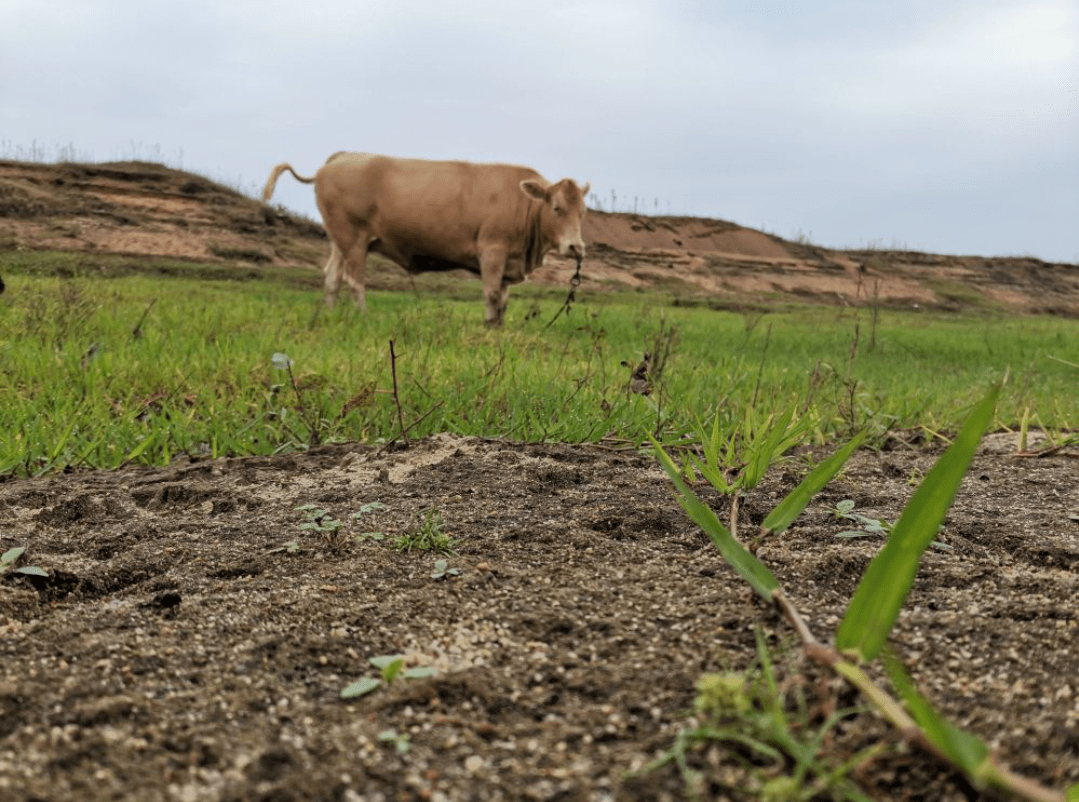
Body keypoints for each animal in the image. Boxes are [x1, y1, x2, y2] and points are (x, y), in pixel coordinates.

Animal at [262, 152, 591, 323]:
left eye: (583, 212)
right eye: (556, 207)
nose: (576, 247)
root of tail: (340, 157)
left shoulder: (509, 261)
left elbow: (504, 301)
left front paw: (498, 328)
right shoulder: (492, 252)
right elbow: (492, 295)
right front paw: (489, 328)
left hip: (339, 239)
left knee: (332, 276)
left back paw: (330, 316)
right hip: (353, 239)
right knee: (354, 281)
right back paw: (363, 317)